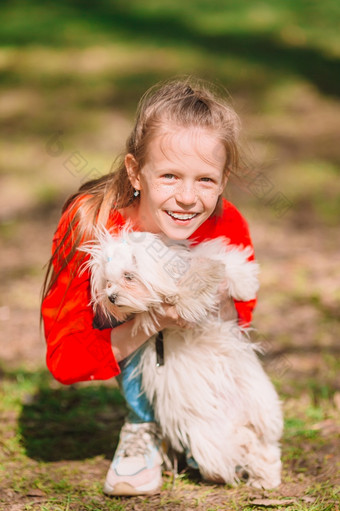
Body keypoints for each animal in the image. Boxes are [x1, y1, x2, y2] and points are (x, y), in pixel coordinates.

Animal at [81, 230, 282, 490]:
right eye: (107, 281)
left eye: (128, 276)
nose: (111, 297)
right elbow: (183, 297)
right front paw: (192, 292)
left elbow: (225, 264)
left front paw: (241, 283)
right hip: (209, 439)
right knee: (245, 447)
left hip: (261, 403)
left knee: (262, 446)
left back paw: (265, 478)